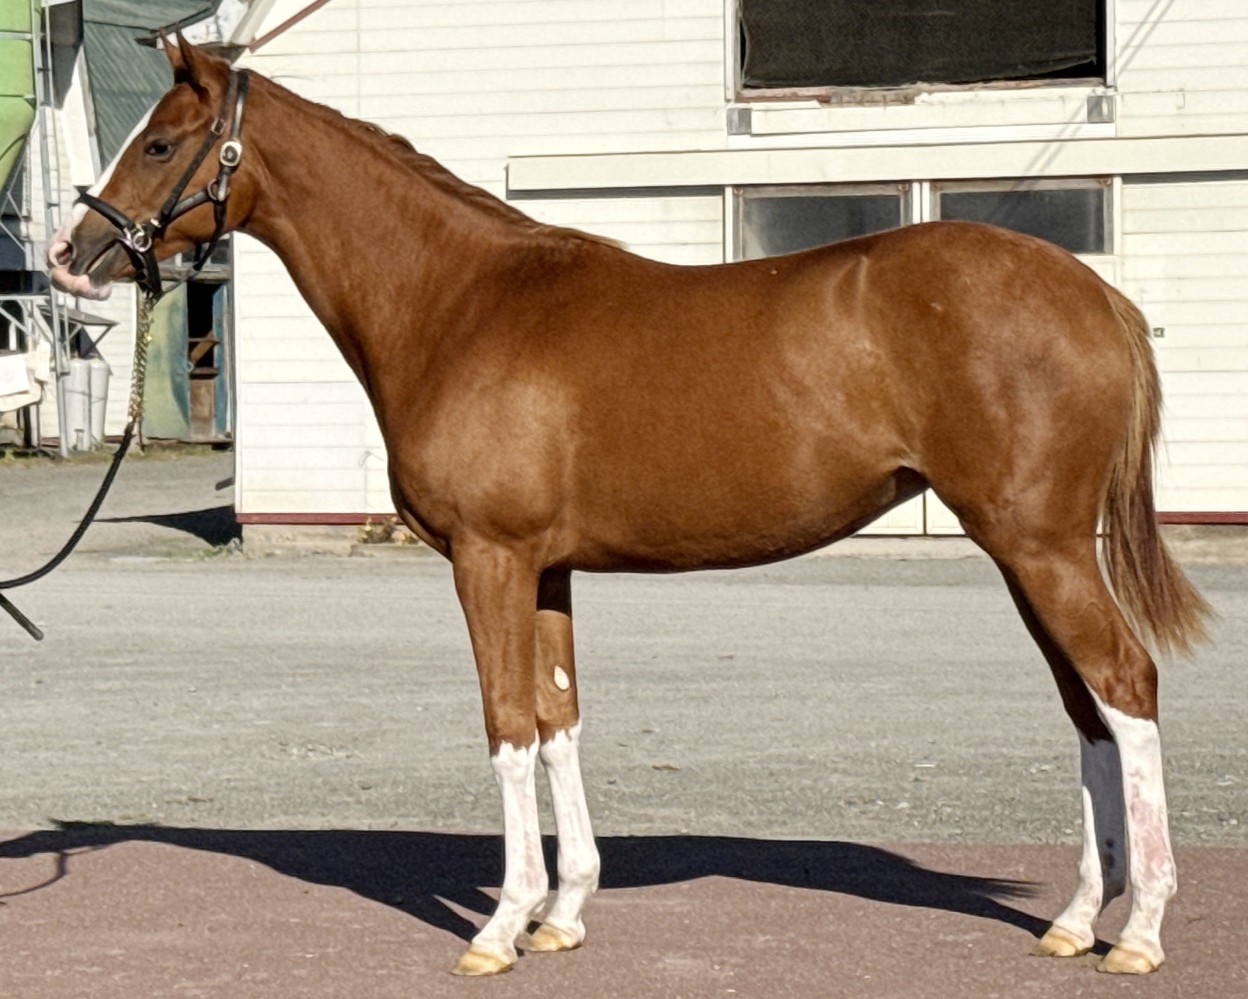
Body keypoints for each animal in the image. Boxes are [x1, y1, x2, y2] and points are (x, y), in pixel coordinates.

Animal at [48, 37, 1208, 978]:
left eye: (161, 144)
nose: (71, 259)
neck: (460, 303)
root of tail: (1096, 293)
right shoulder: (548, 569)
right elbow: (560, 719)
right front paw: (562, 913)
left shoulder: (490, 559)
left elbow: (507, 725)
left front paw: (498, 927)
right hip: (1027, 552)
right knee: (1089, 710)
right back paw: (1075, 918)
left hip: (1041, 545)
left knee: (1126, 685)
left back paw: (1142, 930)